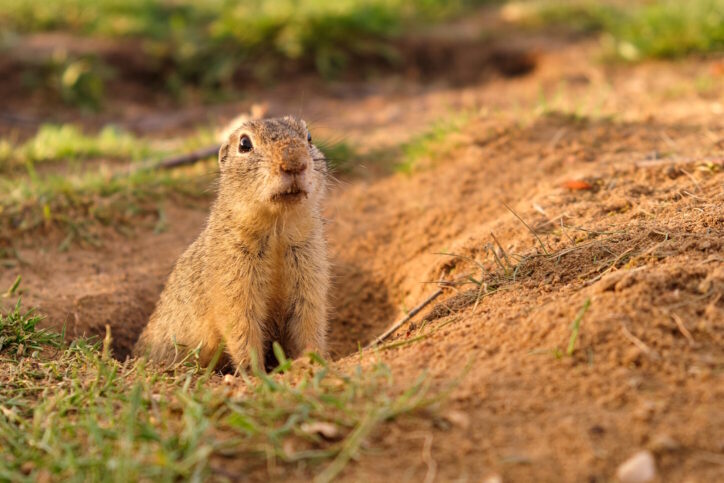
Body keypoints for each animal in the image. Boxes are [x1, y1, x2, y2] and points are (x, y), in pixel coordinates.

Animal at [134, 117, 330, 370]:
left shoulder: (309, 269)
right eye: (244, 144)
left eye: (309, 137)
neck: (277, 231)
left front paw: (312, 360)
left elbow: (309, 321)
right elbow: (241, 324)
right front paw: (255, 371)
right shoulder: (233, 275)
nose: (294, 162)